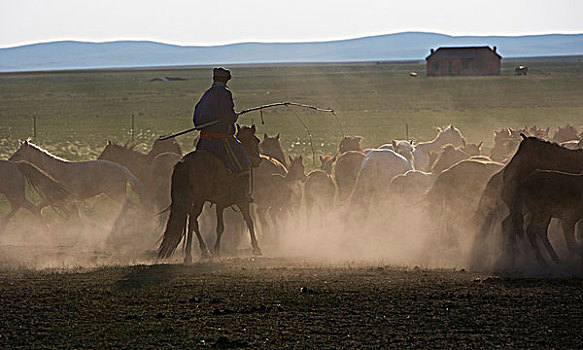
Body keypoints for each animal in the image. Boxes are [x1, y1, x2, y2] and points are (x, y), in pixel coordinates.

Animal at [8, 141, 148, 208]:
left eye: (19, 153)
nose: (9, 162)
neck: (55, 171)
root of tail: (121, 167)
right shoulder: (68, 199)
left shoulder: (58, 198)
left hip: (116, 194)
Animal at [157, 123, 262, 262]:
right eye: (256, 140)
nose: (259, 160)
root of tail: (184, 163)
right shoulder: (242, 201)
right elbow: (249, 221)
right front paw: (256, 248)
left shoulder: (220, 204)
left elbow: (220, 227)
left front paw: (216, 251)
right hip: (199, 199)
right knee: (192, 221)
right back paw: (188, 255)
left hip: (188, 200)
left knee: (194, 223)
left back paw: (205, 251)